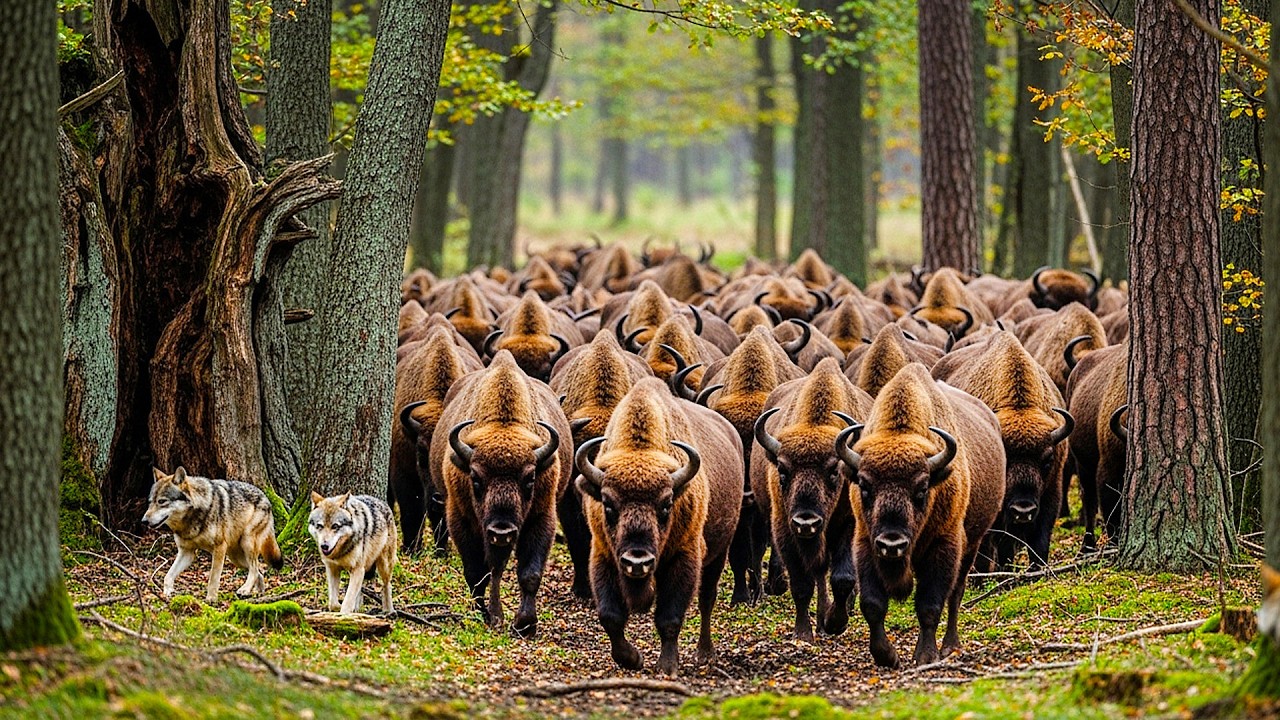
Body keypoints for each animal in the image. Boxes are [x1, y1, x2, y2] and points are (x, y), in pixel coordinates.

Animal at [142, 467, 283, 603]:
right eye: (150, 502)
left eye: (162, 501)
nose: (143, 521)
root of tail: (266, 497)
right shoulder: (186, 552)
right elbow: (168, 576)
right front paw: (166, 594)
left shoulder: (219, 548)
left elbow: (213, 578)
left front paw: (211, 598)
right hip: (235, 558)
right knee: (259, 571)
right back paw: (257, 592)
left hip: (246, 543)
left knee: (255, 568)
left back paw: (245, 590)